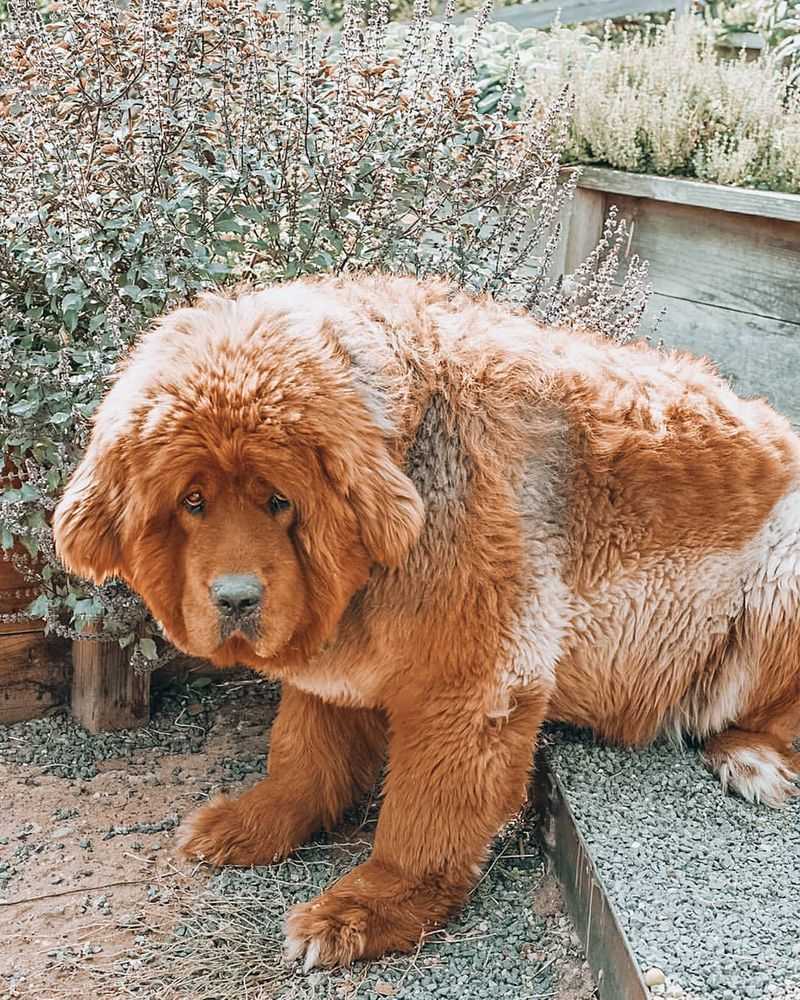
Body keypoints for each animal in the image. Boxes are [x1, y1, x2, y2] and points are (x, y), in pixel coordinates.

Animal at [53, 274, 796, 968]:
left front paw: (367, 909)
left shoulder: (470, 680)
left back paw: (752, 759)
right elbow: (303, 751)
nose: (236, 599)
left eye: (279, 500)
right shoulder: (339, 657)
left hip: (779, 575)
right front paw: (257, 819)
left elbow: (424, 813)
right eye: (193, 501)